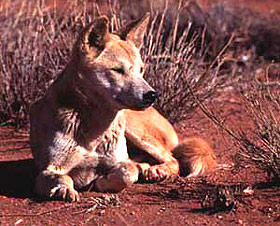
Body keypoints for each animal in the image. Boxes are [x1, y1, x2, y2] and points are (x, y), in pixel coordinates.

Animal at [29, 14, 215, 201]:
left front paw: (102, 182)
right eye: (118, 70)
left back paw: (156, 170)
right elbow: (63, 177)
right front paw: (64, 189)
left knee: (172, 159)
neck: (94, 128)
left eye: (141, 70)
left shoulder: (120, 161)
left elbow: (127, 173)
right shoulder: (47, 170)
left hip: (136, 131)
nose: (152, 95)